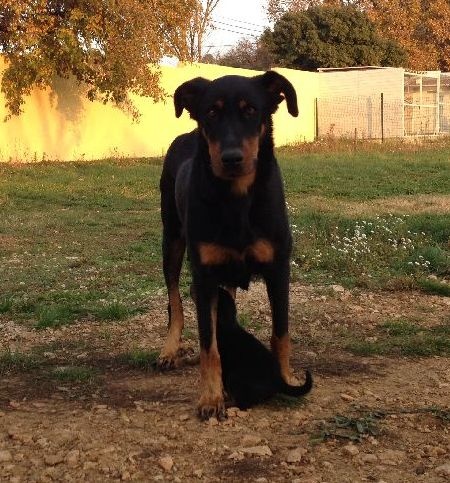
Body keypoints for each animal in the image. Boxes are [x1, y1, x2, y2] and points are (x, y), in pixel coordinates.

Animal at [160, 69, 300, 420]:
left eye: (251, 110)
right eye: (211, 112)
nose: (231, 158)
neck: (237, 198)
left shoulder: (279, 269)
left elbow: (281, 333)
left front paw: (285, 379)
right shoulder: (205, 276)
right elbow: (209, 346)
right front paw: (210, 398)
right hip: (172, 240)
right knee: (174, 300)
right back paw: (170, 349)